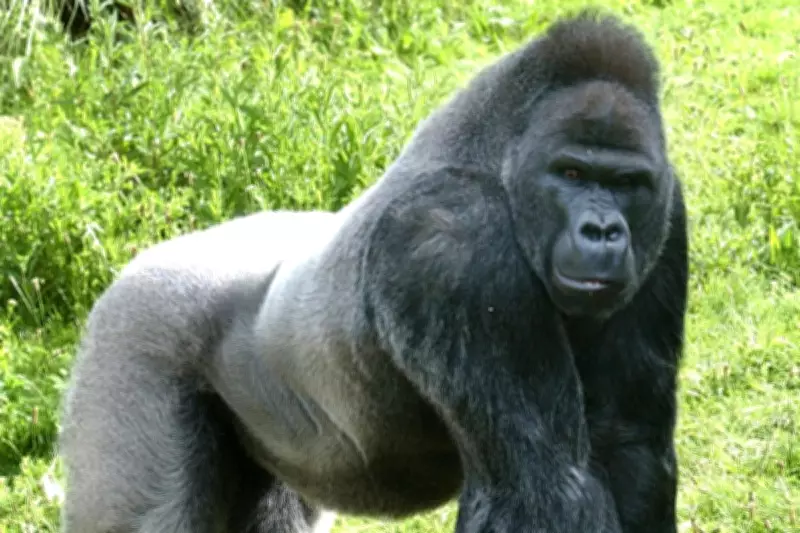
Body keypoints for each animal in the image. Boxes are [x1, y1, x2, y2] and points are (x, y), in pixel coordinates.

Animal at [58, 9, 688, 533]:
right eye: (572, 173)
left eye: (626, 183)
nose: (602, 230)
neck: (503, 157)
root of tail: (138, 264)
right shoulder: (457, 246)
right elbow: (542, 486)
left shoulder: (665, 214)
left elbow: (627, 444)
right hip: (134, 341)